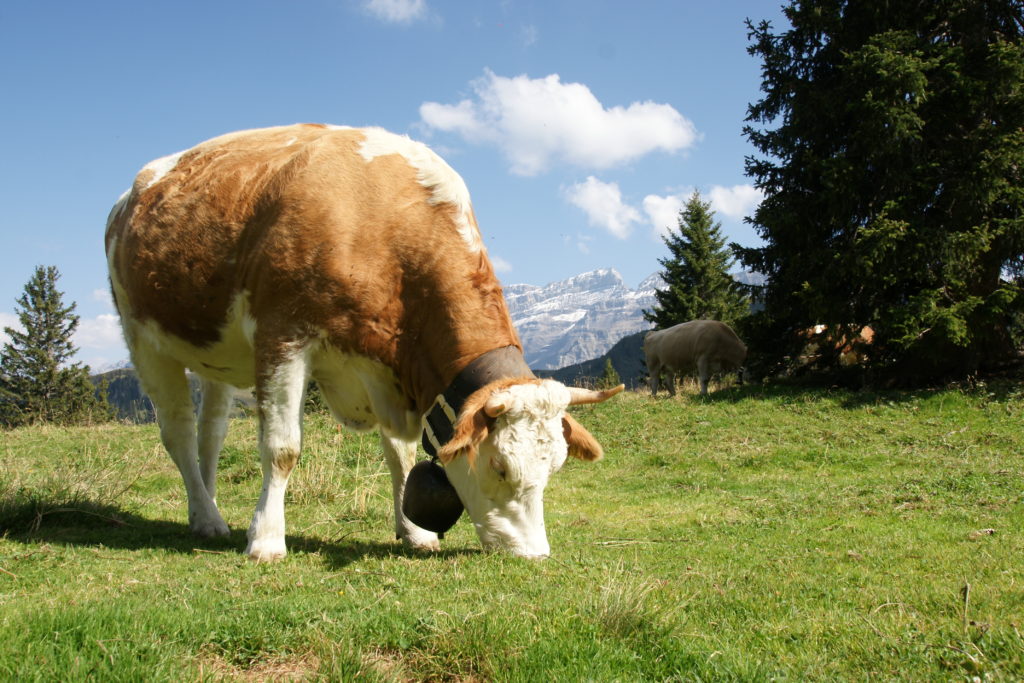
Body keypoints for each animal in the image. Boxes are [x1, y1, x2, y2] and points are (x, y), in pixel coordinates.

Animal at [105, 124, 623, 561]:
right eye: (499, 466)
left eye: (554, 467)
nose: (533, 554)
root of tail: (132, 193)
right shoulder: (283, 335)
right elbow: (282, 447)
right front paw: (267, 540)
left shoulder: (385, 366)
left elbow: (401, 453)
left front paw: (414, 532)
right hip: (143, 337)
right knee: (177, 431)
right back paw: (208, 516)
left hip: (219, 358)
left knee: (210, 435)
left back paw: (206, 512)